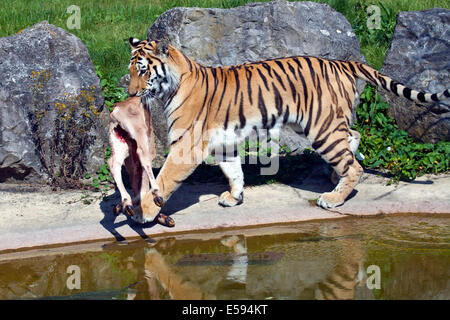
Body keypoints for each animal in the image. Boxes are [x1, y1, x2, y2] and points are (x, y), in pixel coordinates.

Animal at [125, 37, 448, 222]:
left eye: (142, 70)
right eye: (130, 71)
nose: (130, 93)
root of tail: (343, 63)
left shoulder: (186, 145)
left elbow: (163, 180)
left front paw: (143, 213)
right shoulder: (224, 143)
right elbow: (234, 171)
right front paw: (235, 197)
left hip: (321, 127)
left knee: (353, 164)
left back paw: (333, 198)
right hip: (325, 124)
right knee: (353, 139)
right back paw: (336, 178)